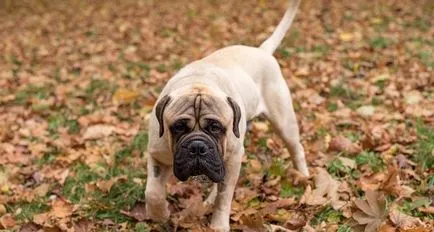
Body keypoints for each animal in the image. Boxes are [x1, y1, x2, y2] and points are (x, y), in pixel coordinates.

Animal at [146, 0, 308, 230]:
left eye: (216, 127)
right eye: (178, 127)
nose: (197, 146)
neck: (199, 82)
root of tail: (262, 51)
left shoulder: (232, 158)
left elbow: (225, 196)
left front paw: (218, 225)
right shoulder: (157, 155)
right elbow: (152, 191)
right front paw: (159, 214)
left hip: (283, 122)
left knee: (296, 148)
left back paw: (304, 177)